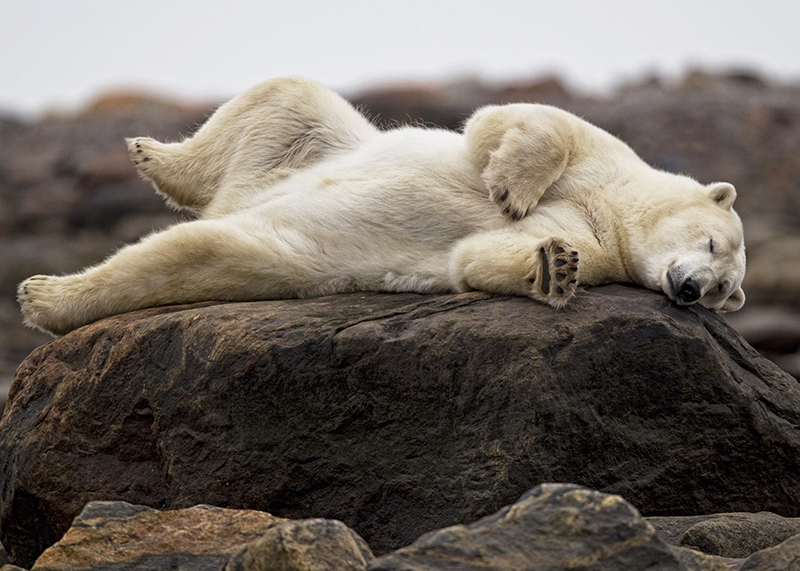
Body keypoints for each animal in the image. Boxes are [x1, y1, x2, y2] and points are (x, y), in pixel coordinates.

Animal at [17, 76, 746, 336]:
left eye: (722, 292)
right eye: (713, 246)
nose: (689, 290)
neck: (616, 212)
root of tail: (235, 201)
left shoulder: (602, 247)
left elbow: (478, 258)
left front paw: (552, 267)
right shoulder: (609, 164)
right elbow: (513, 122)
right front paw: (510, 187)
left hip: (288, 251)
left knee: (198, 253)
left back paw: (46, 297)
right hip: (310, 147)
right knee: (289, 94)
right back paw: (151, 156)